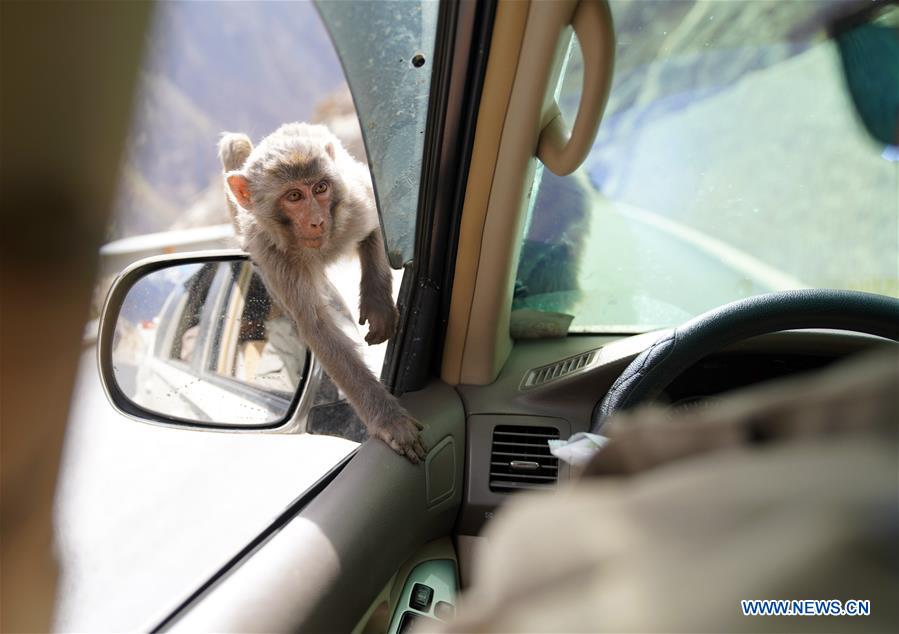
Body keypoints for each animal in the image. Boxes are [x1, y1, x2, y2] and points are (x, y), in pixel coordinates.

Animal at [217, 122, 426, 463]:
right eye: (294, 196)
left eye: (320, 188)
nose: (317, 221)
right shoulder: (274, 256)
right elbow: (317, 327)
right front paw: (390, 421)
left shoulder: (355, 204)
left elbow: (374, 230)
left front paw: (378, 303)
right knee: (234, 143)